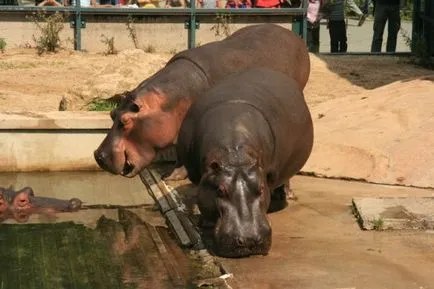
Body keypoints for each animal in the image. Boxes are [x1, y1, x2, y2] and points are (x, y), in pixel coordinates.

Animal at [93, 23, 310, 178]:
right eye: (112, 114)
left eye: (124, 122)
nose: (98, 156)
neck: (168, 102)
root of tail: (294, 35)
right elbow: (179, 152)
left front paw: (173, 176)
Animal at [175, 68, 314, 256]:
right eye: (220, 190)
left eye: (261, 188)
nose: (249, 240)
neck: (235, 156)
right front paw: (205, 223)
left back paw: (286, 195)